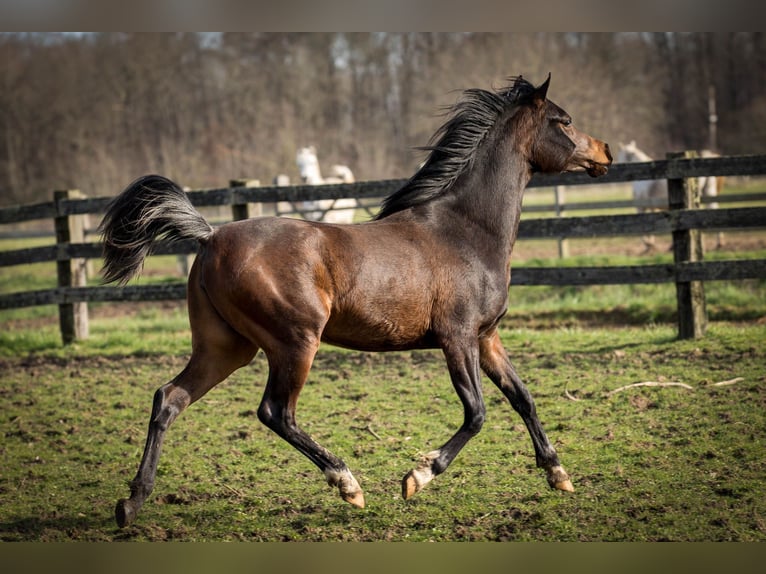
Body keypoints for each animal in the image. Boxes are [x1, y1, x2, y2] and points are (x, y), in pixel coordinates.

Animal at [100, 74, 612, 528]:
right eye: (565, 121)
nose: (605, 152)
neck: (467, 230)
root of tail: (209, 237)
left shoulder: (487, 337)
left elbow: (523, 397)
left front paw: (558, 474)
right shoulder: (458, 337)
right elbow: (477, 412)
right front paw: (417, 476)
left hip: (225, 347)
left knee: (170, 398)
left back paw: (131, 503)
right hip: (294, 342)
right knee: (275, 412)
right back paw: (348, 483)